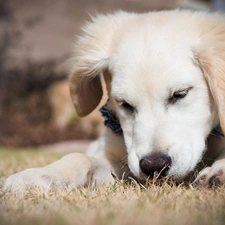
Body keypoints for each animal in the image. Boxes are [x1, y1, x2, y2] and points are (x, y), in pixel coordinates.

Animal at [3, 8, 225, 192]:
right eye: (125, 104)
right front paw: (42, 175)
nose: (154, 166)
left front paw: (217, 171)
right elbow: (80, 157)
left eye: (180, 93)